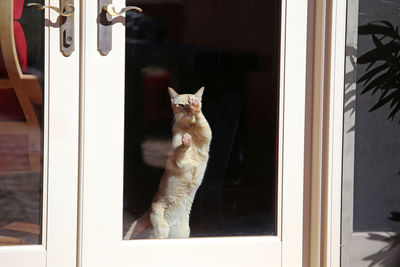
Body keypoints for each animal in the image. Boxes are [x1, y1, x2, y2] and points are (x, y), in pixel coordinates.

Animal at [124, 87, 212, 240]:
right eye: (182, 105)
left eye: (189, 104)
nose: (188, 110)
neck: (189, 128)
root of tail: (148, 210)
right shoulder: (179, 160)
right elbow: (181, 150)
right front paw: (186, 141)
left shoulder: (206, 135)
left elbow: (202, 121)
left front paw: (196, 108)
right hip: (160, 228)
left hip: (181, 234)